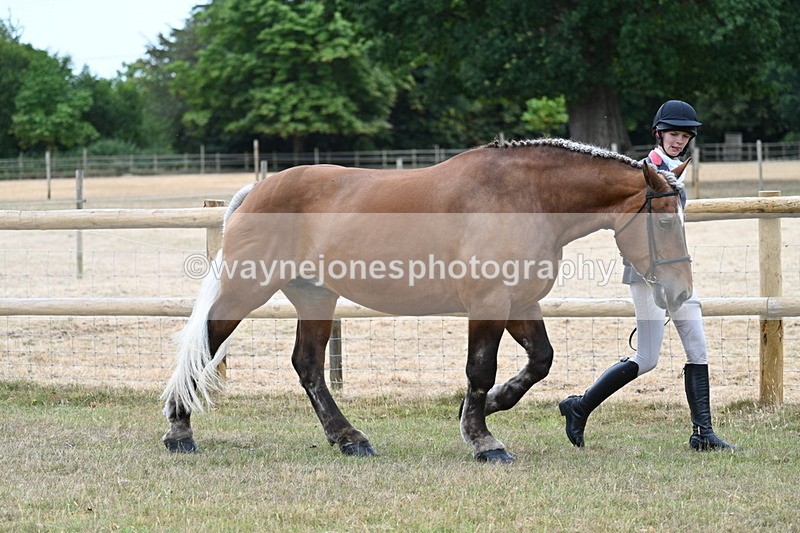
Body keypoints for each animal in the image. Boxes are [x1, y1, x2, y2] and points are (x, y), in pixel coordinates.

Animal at [160, 138, 692, 462]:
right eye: (666, 220)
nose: (681, 290)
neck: (525, 198)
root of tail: (256, 190)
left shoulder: (520, 304)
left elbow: (540, 361)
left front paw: (490, 408)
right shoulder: (488, 303)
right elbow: (481, 369)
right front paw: (483, 440)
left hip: (315, 297)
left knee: (308, 366)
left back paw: (349, 438)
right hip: (247, 287)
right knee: (207, 344)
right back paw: (179, 431)